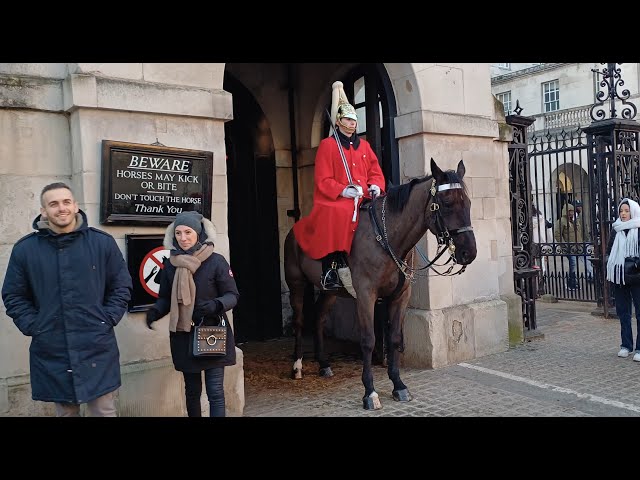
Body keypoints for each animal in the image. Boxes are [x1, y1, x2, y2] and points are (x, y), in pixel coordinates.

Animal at [284, 158, 476, 408]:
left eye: (468, 202)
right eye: (446, 203)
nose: (469, 253)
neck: (389, 238)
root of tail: (295, 228)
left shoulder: (401, 295)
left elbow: (394, 338)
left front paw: (399, 385)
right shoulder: (366, 295)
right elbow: (368, 340)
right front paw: (370, 392)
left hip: (330, 292)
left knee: (318, 318)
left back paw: (324, 364)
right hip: (296, 284)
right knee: (299, 321)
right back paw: (297, 366)